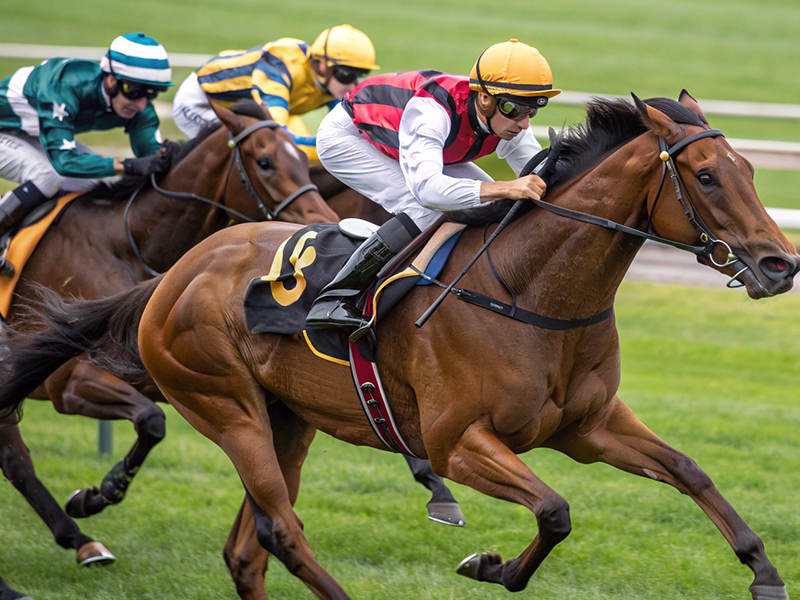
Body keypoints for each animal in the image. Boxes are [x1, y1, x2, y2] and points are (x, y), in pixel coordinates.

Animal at [1, 91, 795, 600]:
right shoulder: (457, 441)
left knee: (248, 551)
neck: (531, 292)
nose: (780, 264)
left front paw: (763, 571)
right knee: (280, 531)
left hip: (286, 419)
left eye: (753, 172)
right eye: (706, 176)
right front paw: (488, 564)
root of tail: (172, 275)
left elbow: (689, 470)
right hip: (225, 406)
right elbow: (554, 511)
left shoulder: (588, 424)